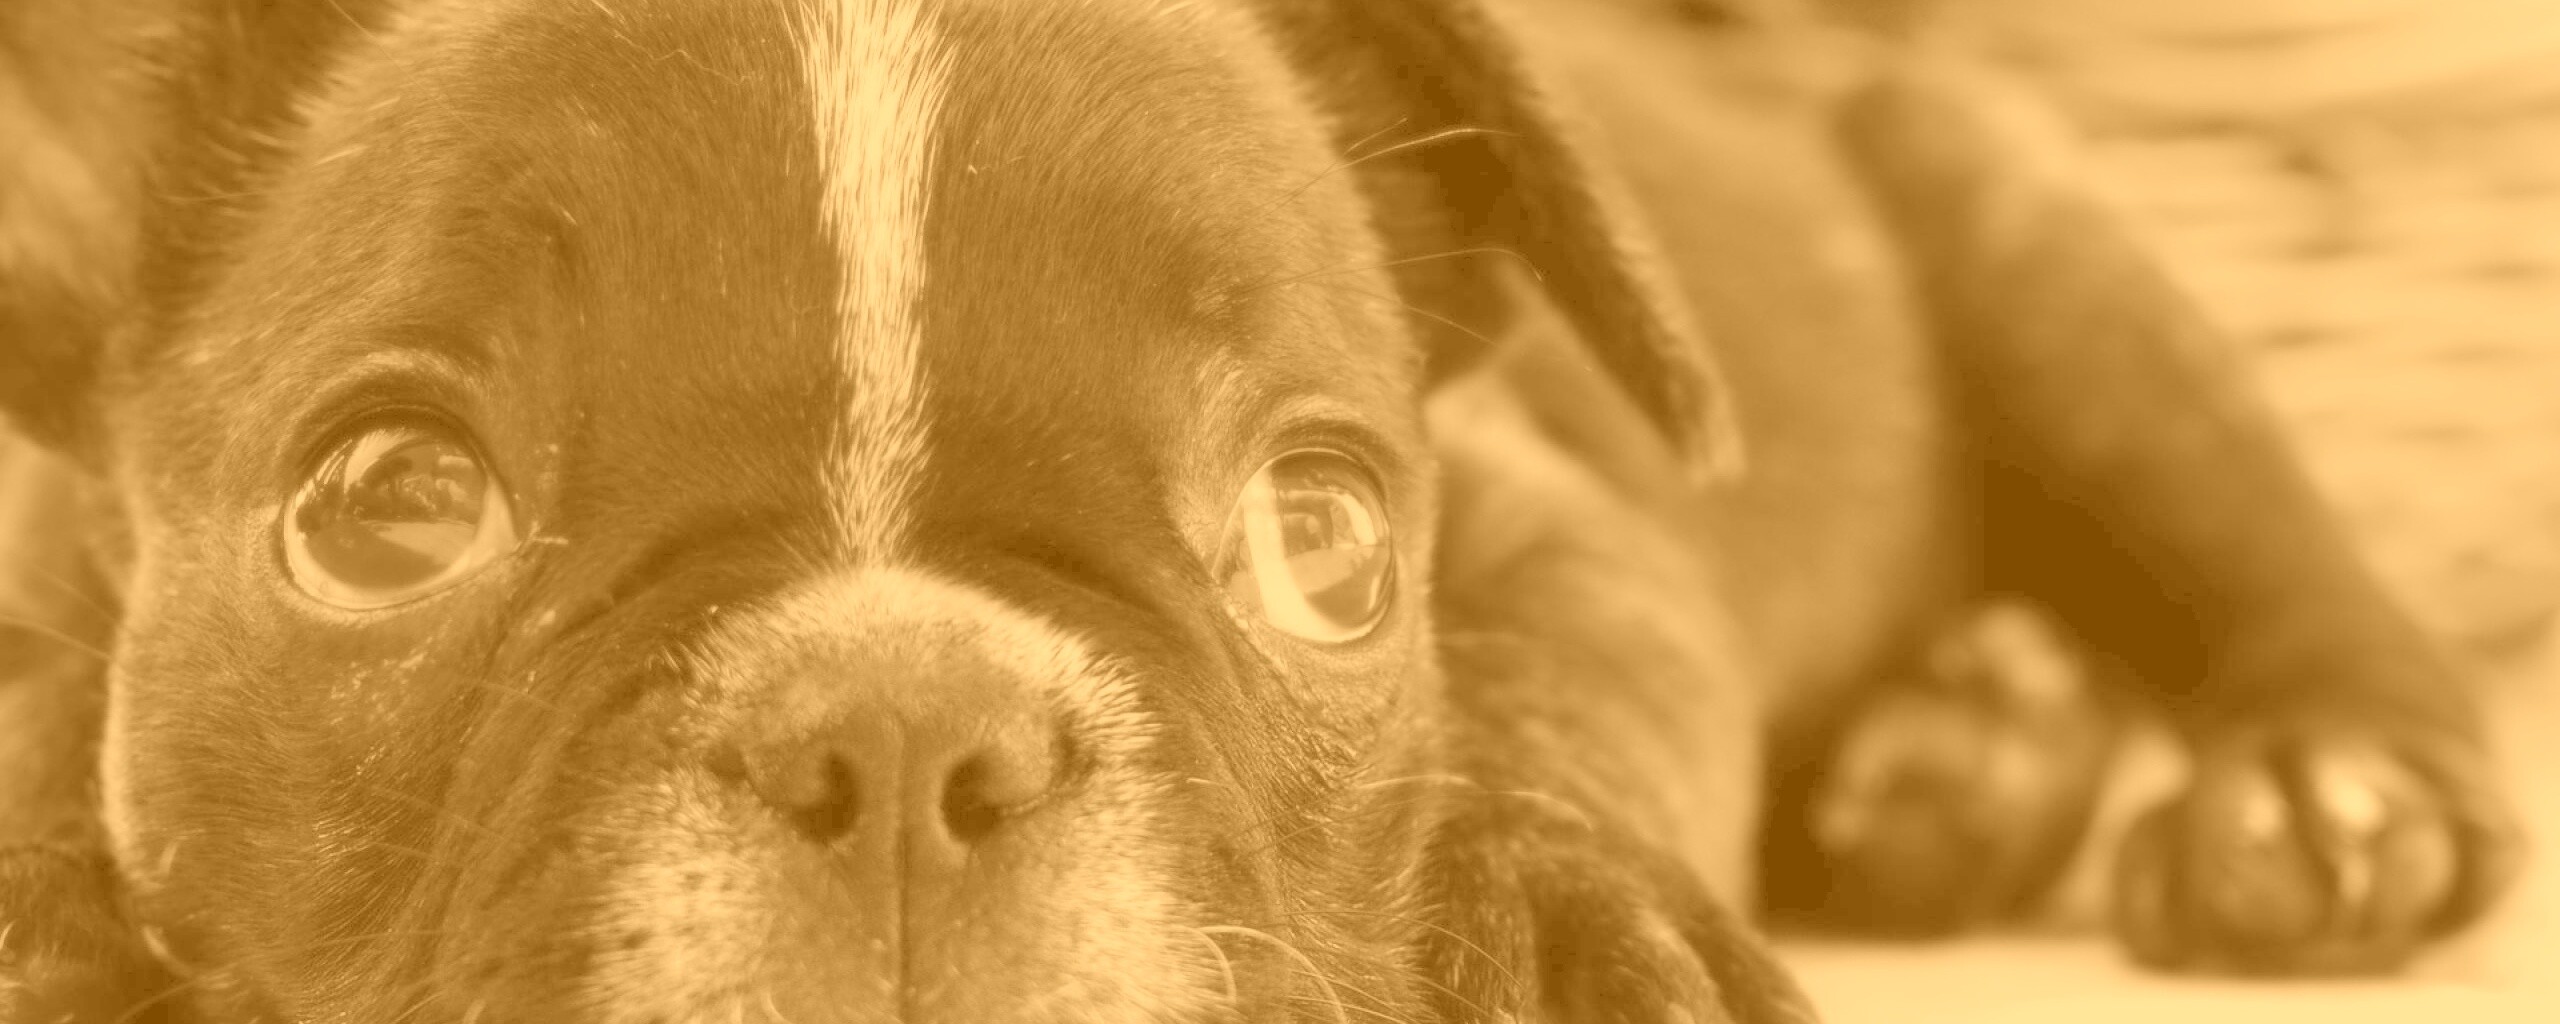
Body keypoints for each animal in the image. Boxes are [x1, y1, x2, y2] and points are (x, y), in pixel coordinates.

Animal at [0, 0, 2527, 1020]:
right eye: (387, 509)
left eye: (1320, 533)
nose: (902, 717)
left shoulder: (1560, 532)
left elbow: (1555, 704)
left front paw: (1564, 930)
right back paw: (1957, 762)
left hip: (2027, 247)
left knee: (2260, 554)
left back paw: (2317, 796)